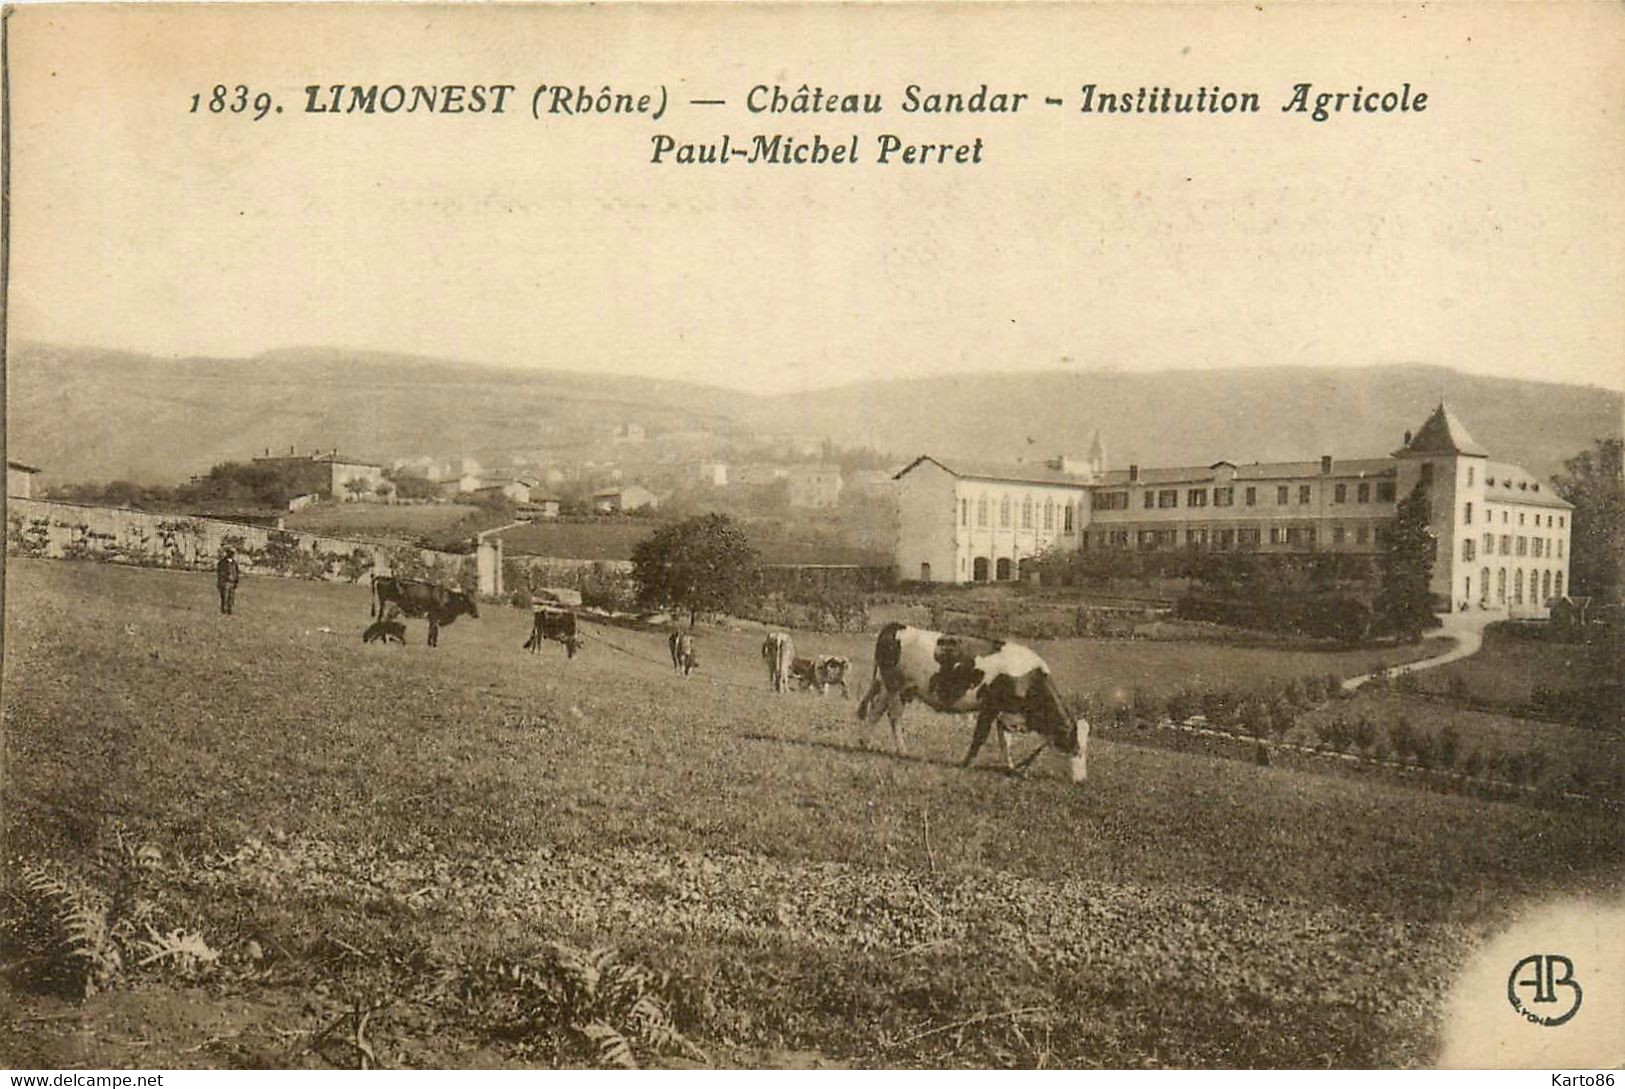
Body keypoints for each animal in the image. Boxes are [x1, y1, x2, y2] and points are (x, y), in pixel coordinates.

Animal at [851, 624, 1092, 786]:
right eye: (1076, 748)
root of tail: (897, 626)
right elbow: (980, 736)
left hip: (890, 687)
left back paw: (864, 742)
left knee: (876, 711)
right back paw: (903, 751)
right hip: (897, 688)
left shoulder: (1005, 713)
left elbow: (1005, 741)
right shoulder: (989, 706)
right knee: (894, 717)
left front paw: (1010, 767)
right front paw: (966, 763)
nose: (1082, 780)